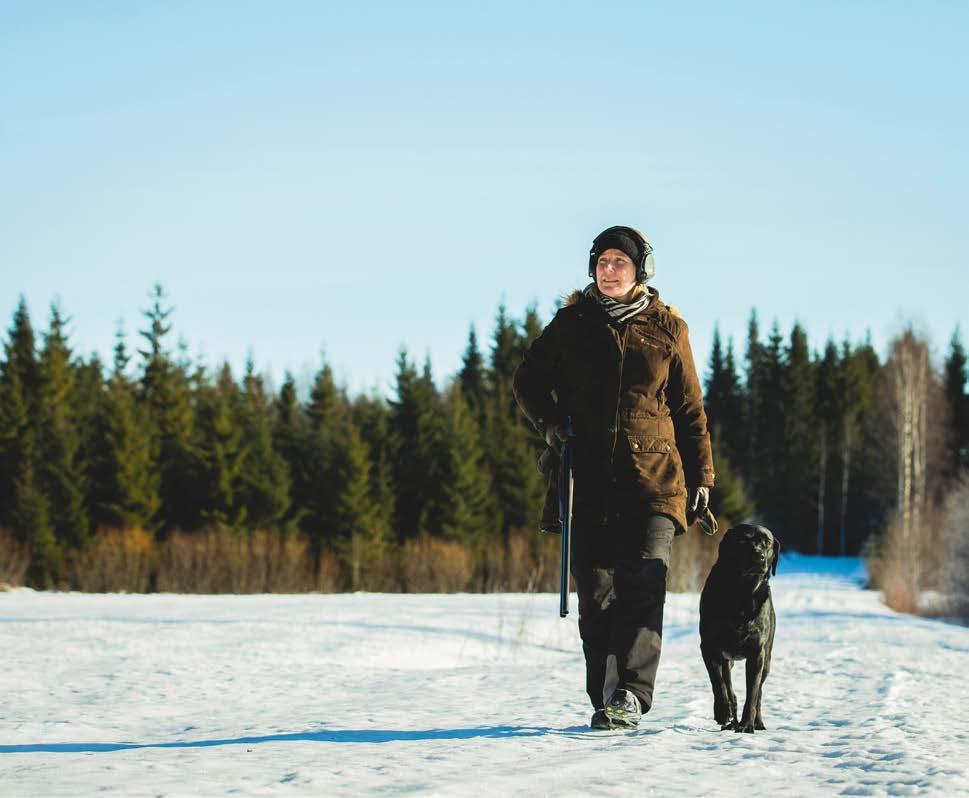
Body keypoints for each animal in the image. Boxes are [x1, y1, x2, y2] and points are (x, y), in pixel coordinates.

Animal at [700, 524, 776, 736]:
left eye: (767, 542)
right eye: (743, 540)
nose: (759, 556)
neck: (741, 593)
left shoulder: (757, 653)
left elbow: (752, 693)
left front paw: (747, 724)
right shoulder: (709, 647)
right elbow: (718, 682)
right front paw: (722, 711)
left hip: (767, 659)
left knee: (759, 692)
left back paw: (756, 722)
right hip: (728, 659)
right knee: (728, 685)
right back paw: (730, 719)